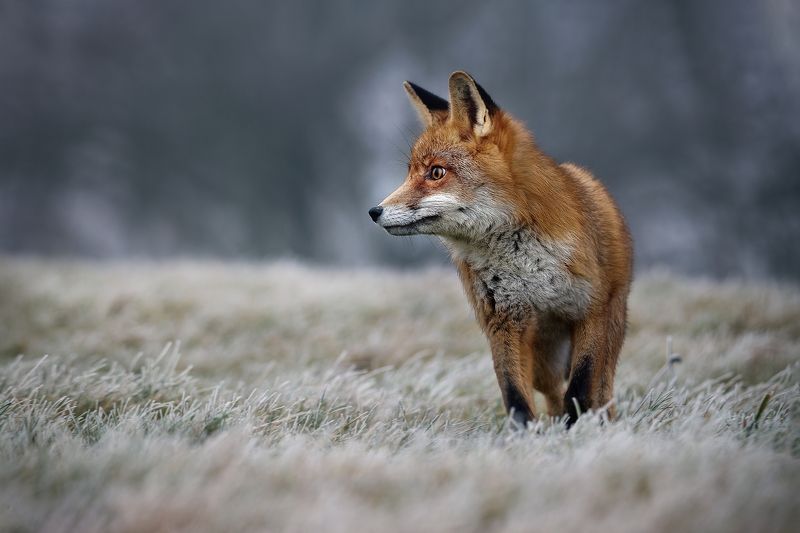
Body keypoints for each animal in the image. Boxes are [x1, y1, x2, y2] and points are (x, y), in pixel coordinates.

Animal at [369, 71, 633, 427]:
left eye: (436, 172)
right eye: (409, 172)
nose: (374, 211)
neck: (526, 266)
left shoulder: (589, 310)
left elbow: (579, 388)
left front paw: (576, 430)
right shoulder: (504, 320)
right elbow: (515, 395)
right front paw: (527, 434)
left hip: (610, 327)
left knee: (601, 389)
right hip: (543, 357)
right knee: (551, 391)